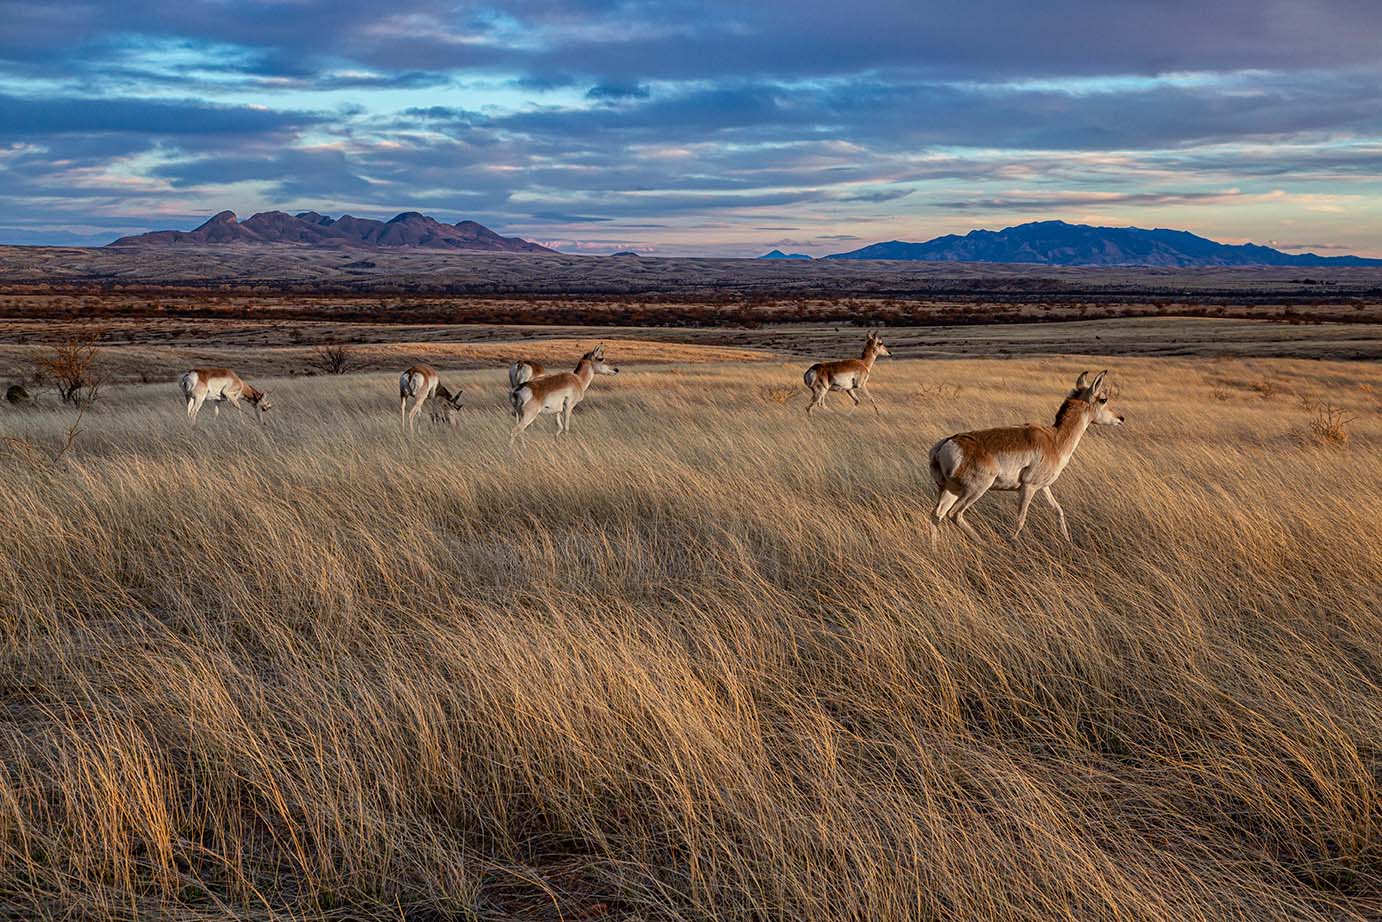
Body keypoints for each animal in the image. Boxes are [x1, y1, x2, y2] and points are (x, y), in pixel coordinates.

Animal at [928, 367, 1122, 541]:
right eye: (1103, 399)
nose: (1121, 418)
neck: (1055, 440)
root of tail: (945, 445)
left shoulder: (1043, 487)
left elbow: (1058, 510)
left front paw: (1068, 542)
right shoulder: (1028, 487)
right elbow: (1020, 521)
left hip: (950, 491)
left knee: (936, 515)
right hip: (975, 490)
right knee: (955, 514)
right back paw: (987, 543)